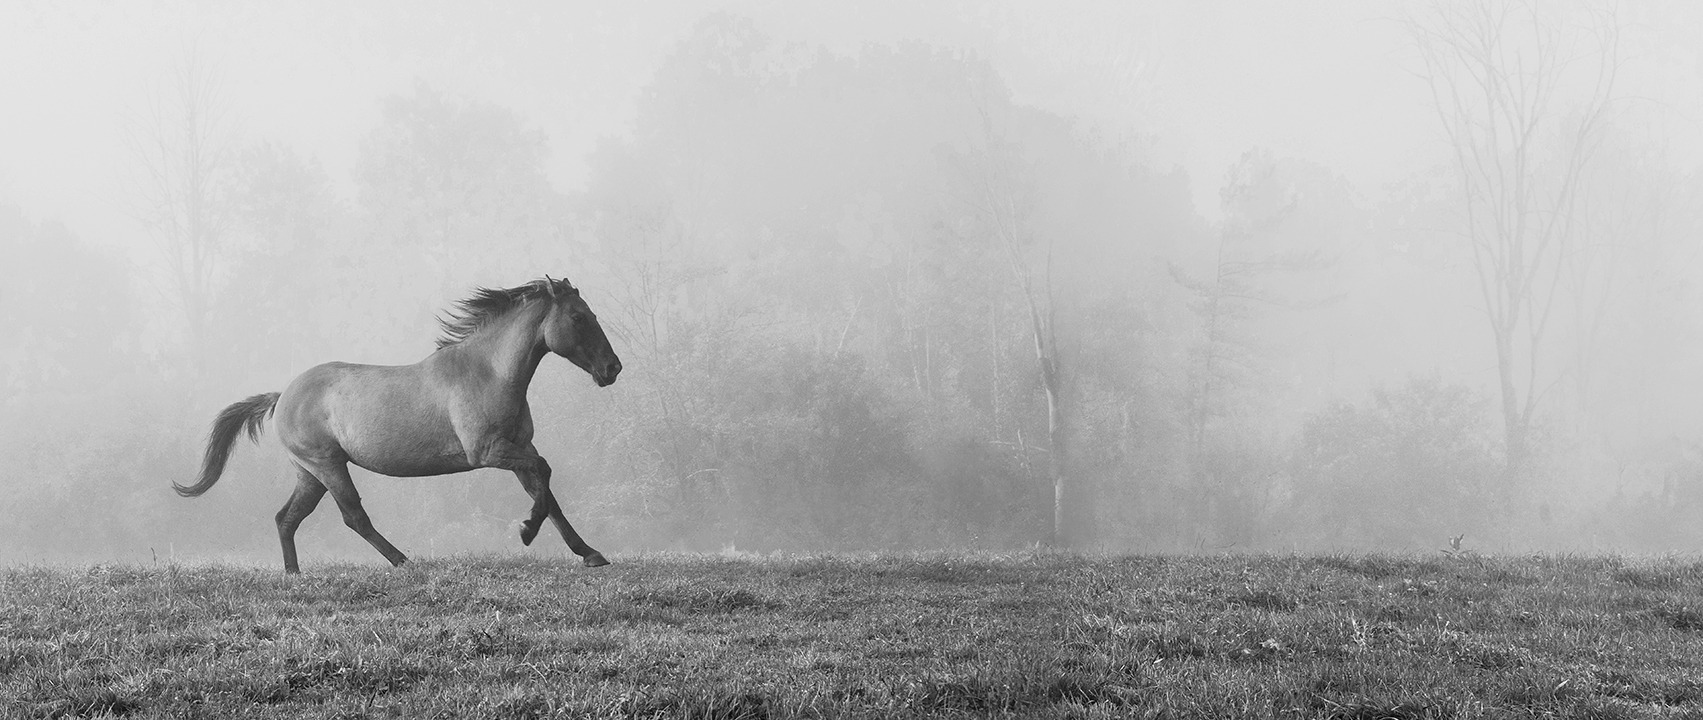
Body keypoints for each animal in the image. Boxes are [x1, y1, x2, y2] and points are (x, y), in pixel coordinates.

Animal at [172, 275, 623, 575]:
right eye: (579, 317)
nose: (612, 368)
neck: (489, 372)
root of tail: (282, 395)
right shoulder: (489, 451)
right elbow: (545, 475)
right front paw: (527, 531)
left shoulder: (520, 448)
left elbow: (547, 492)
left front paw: (589, 553)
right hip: (327, 466)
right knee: (353, 516)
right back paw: (403, 561)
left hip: (310, 473)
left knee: (287, 518)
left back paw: (295, 575)